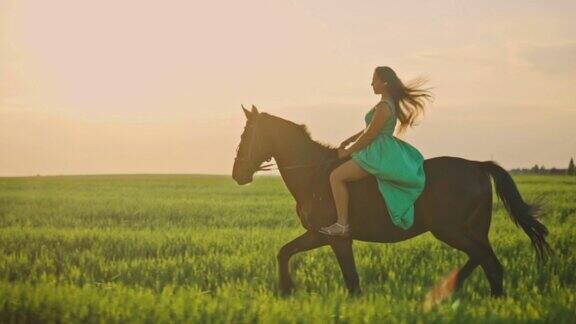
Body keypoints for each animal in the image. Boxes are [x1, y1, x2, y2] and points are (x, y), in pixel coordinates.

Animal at [232, 105, 552, 298]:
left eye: (247, 135)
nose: (237, 174)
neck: (315, 175)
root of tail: (478, 166)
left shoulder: (335, 237)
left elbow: (351, 280)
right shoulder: (319, 235)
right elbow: (285, 252)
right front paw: (286, 290)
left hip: (451, 231)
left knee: (487, 261)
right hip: (470, 231)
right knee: (486, 261)